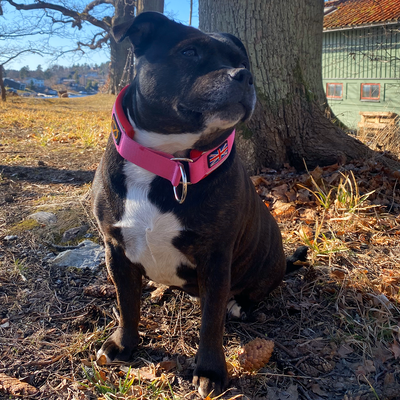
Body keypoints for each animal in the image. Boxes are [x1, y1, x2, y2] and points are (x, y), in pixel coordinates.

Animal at [92, 11, 306, 396]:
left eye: (242, 61)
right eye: (189, 52)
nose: (244, 75)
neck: (170, 163)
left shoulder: (216, 259)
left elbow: (210, 322)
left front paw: (210, 370)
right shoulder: (115, 249)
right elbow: (126, 303)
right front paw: (123, 345)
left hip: (265, 266)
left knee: (250, 296)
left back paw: (240, 305)